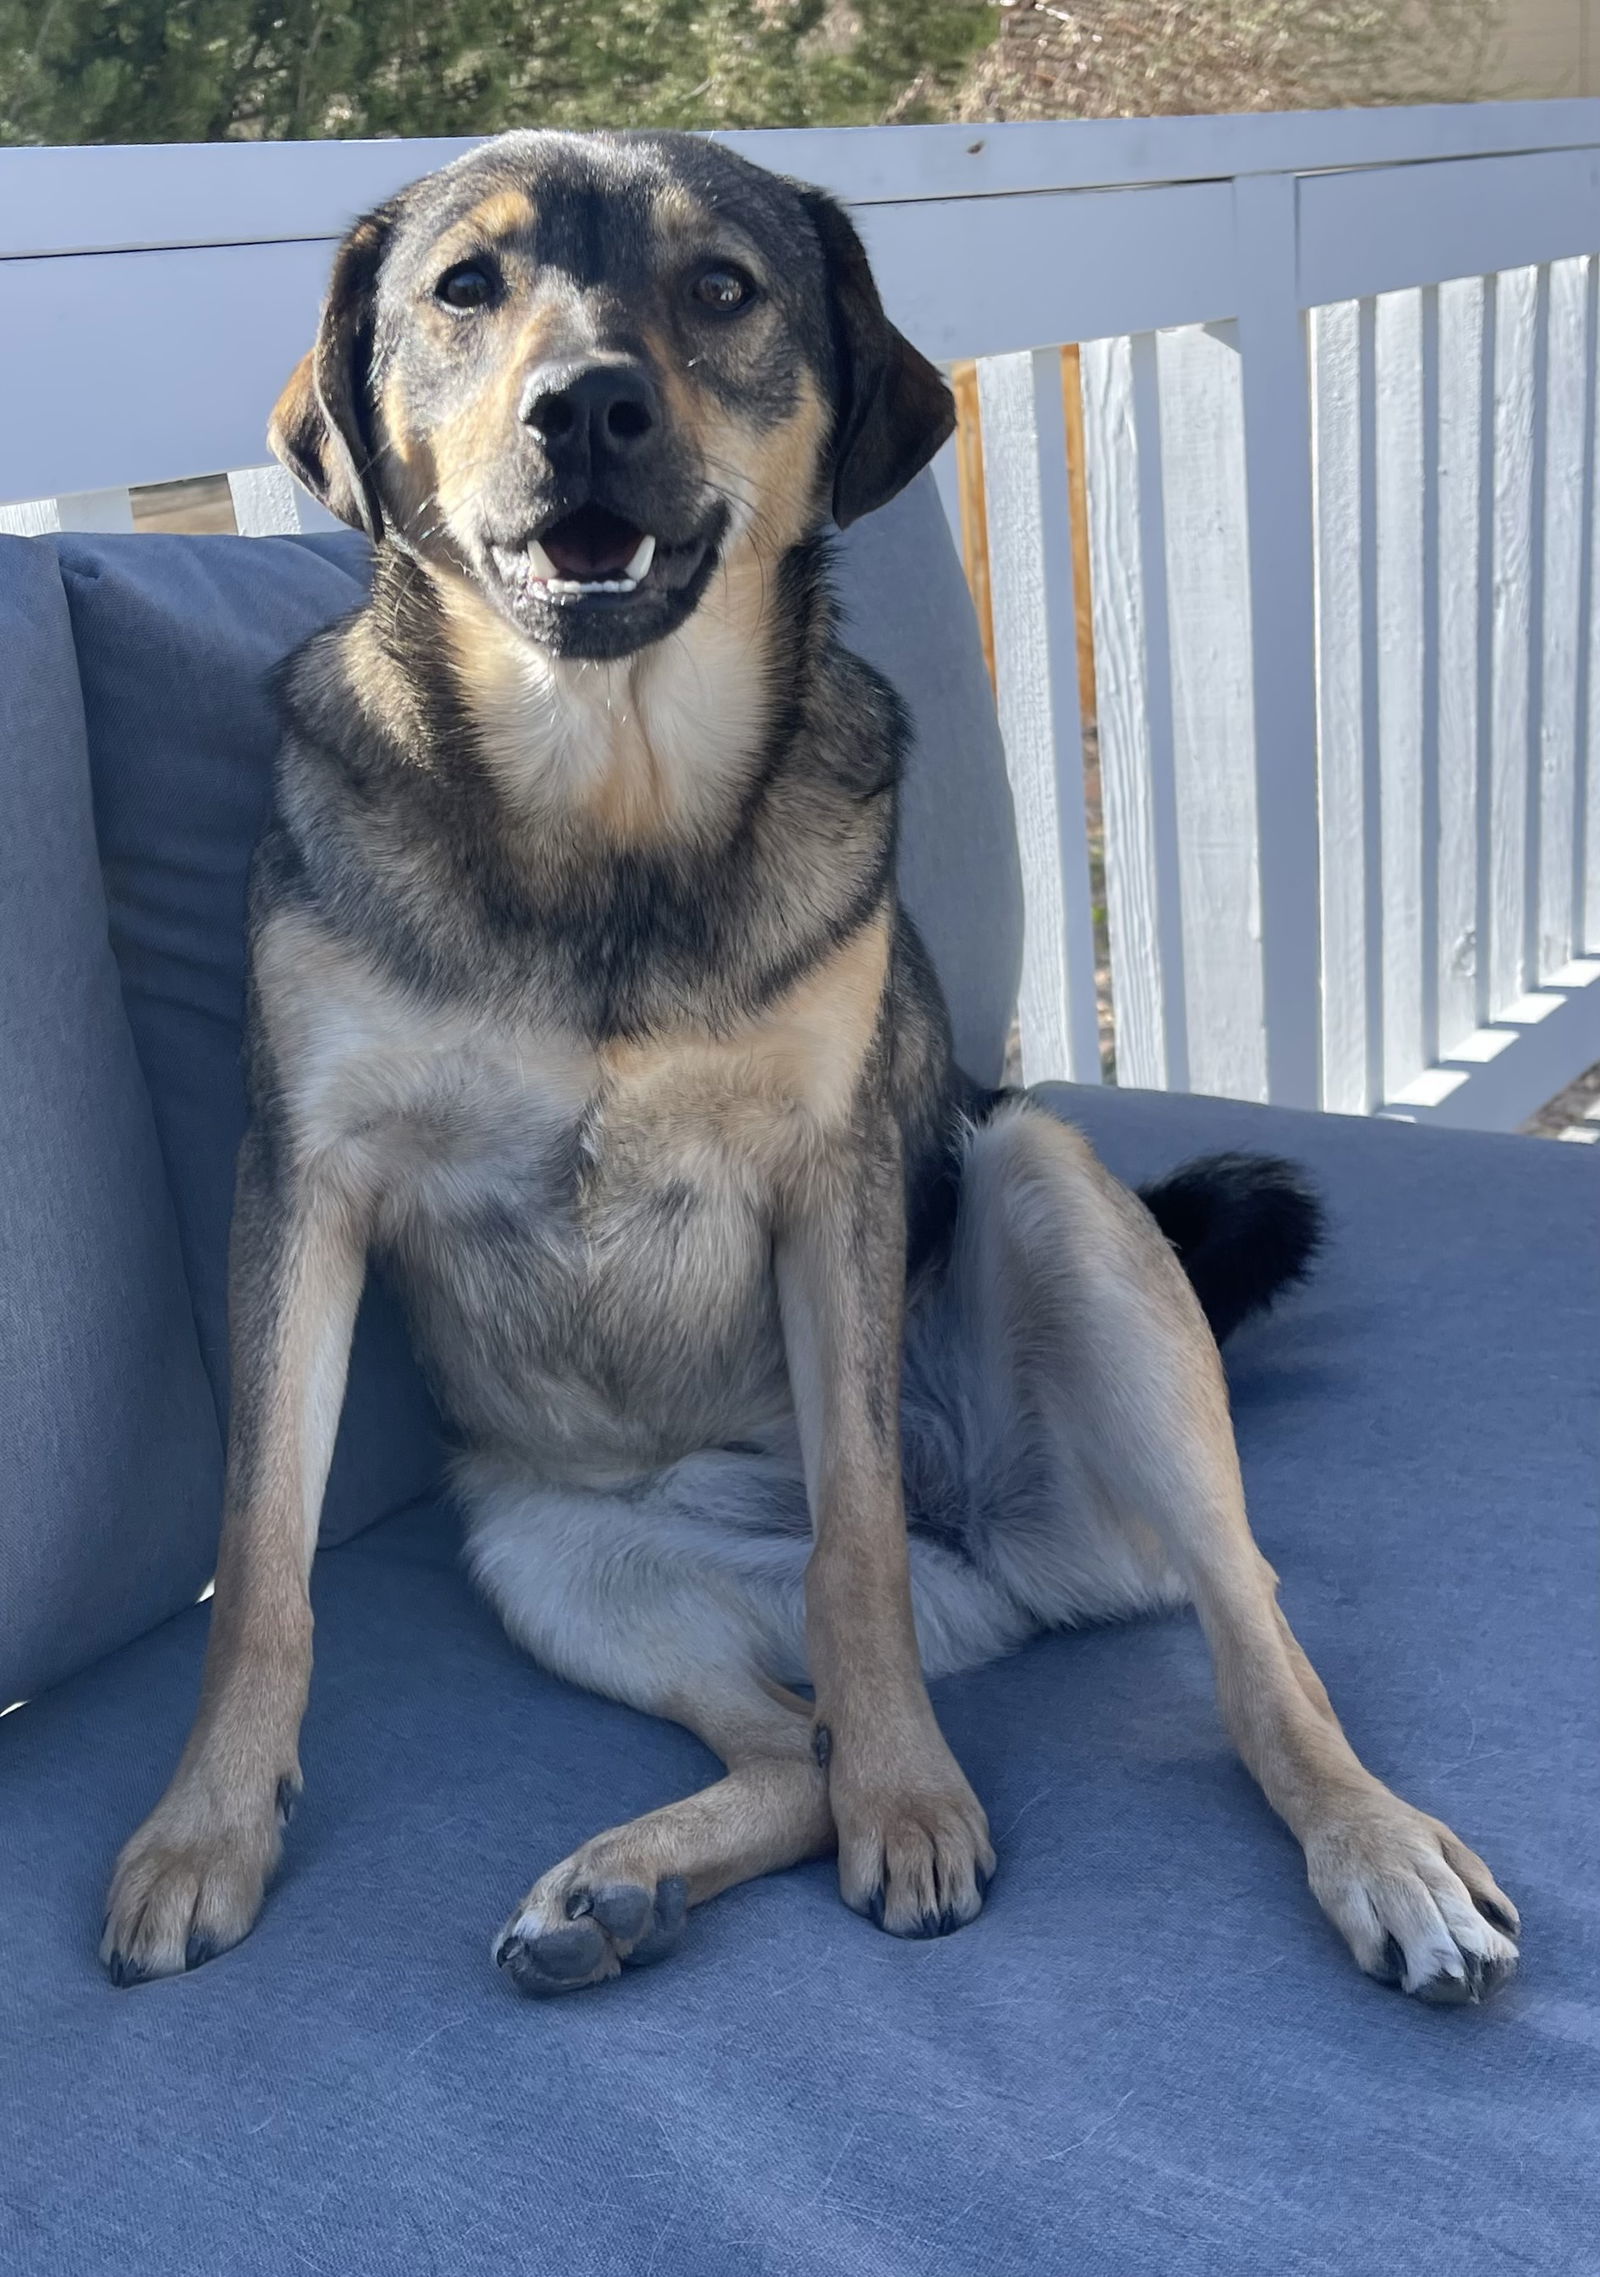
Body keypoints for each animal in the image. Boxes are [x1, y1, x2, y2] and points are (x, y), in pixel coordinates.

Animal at [93, 133, 1520, 2003]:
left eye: (721, 287)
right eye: (464, 288)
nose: (587, 407)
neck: (605, 804)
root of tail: (990, 1563)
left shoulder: (831, 1182)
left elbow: (854, 1549)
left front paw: (914, 1798)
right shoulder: (303, 1187)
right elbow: (262, 1554)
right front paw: (205, 1824)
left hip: (1058, 1207)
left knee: (1234, 1619)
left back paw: (1375, 1846)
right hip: (558, 1559)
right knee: (784, 1745)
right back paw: (621, 1885)